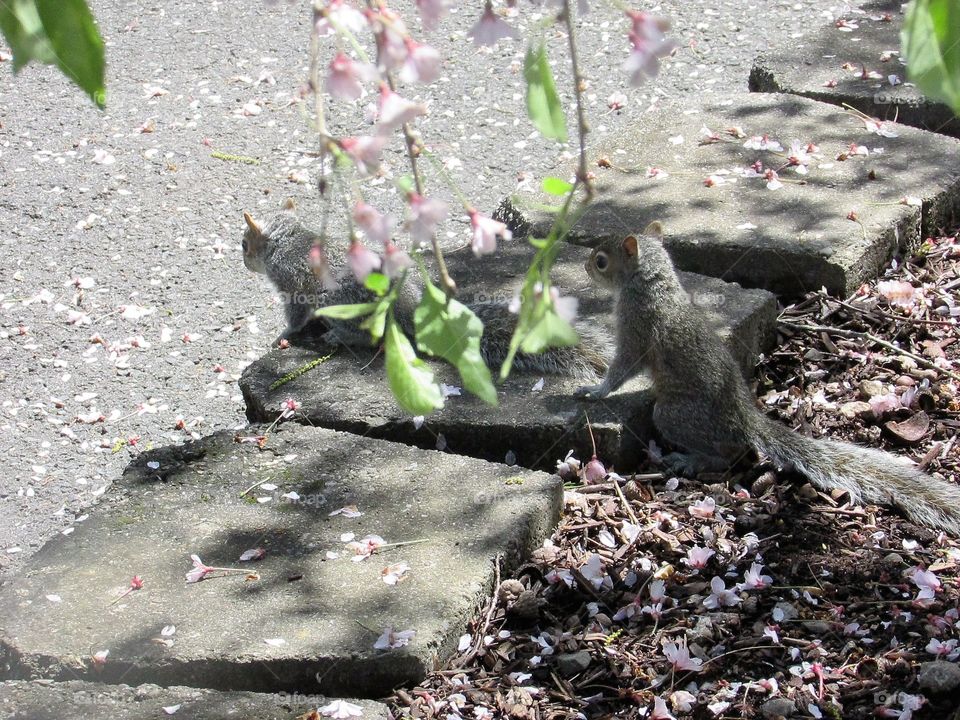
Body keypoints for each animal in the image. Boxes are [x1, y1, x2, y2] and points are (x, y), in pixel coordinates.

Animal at [244, 200, 612, 380]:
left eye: (245, 243)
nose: (245, 262)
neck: (286, 239)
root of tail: (406, 312)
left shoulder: (291, 282)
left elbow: (295, 312)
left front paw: (284, 334)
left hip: (338, 301)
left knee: (370, 335)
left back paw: (339, 335)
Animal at [576, 224, 960, 536]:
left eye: (601, 262)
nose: (584, 266)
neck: (652, 284)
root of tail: (745, 419)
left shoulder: (636, 329)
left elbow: (622, 368)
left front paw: (595, 390)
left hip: (672, 415)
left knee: (728, 454)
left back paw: (692, 460)